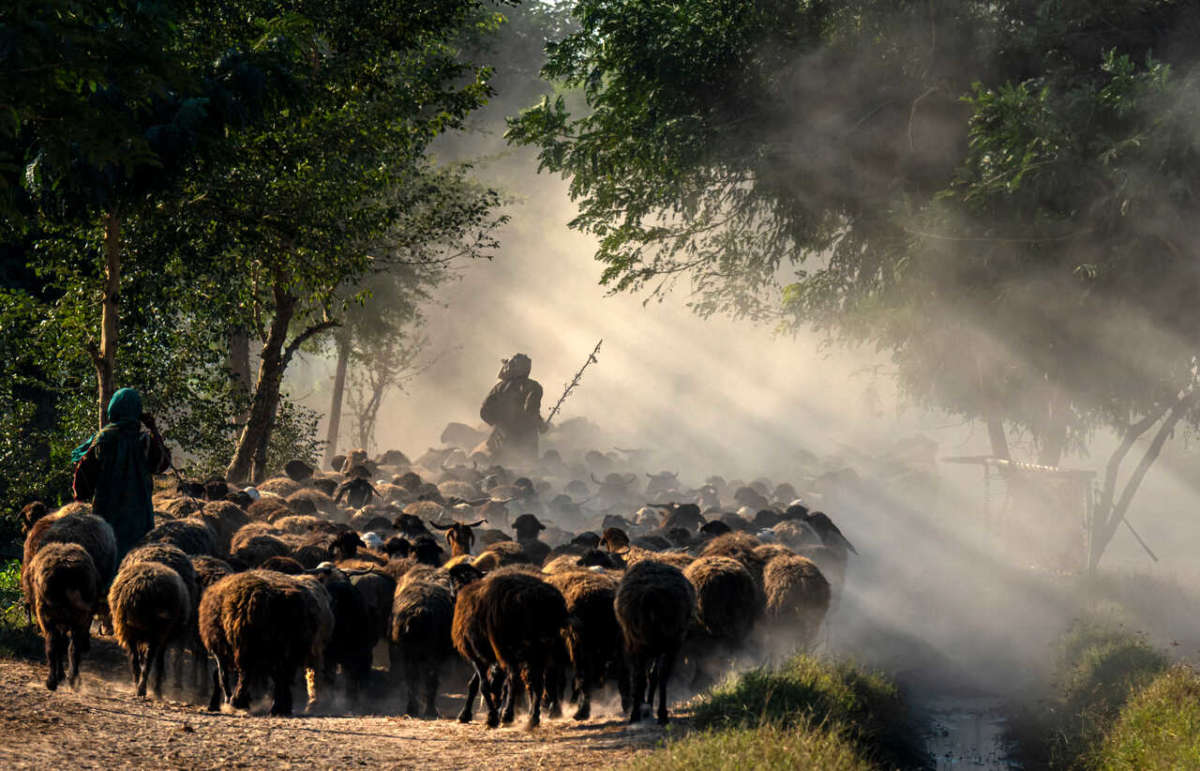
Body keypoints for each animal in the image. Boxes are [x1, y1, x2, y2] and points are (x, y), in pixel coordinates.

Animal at [28, 543, 100, 690]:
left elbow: (58, 646)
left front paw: (59, 675)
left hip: (47, 616)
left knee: (51, 646)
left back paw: (52, 682)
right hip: (80, 618)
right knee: (74, 648)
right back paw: (74, 680)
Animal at [108, 560, 191, 698]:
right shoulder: (162, 637)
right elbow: (158, 662)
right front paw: (156, 688)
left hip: (128, 630)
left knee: (134, 660)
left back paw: (138, 686)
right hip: (155, 632)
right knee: (149, 661)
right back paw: (145, 689)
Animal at [450, 564, 568, 729]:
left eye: (454, 584)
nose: (452, 597)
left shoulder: (478, 655)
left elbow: (484, 685)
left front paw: (491, 716)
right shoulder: (489, 656)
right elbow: (481, 683)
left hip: (514, 649)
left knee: (517, 680)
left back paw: (509, 715)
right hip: (542, 649)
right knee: (539, 681)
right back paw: (535, 716)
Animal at [614, 560, 696, 725]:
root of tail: (651, 596)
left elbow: (648, 677)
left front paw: (645, 706)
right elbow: (653, 677)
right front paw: (649, 707)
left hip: (642, 643)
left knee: (643, 677)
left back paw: (637, 714)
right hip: (670, 642)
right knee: (660, 677)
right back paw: (659, 714)